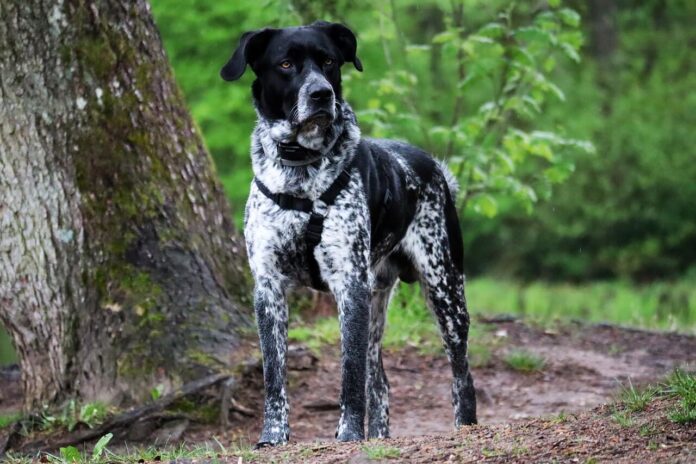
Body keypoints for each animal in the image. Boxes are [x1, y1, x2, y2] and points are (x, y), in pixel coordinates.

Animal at [220, 20, 476, 446]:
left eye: (328, 62)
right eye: (286, 63)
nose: (321, 93)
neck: (301, 172)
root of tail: (435, 168)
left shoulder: (349, 286)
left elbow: (349, 375)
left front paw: (349, 433)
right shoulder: (268, 288)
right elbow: (274, 375)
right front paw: (273, 436)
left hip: (445, 290)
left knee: (462, 376)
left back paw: (465, 427)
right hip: (377, 303)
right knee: (381, 382)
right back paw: (380, 437)